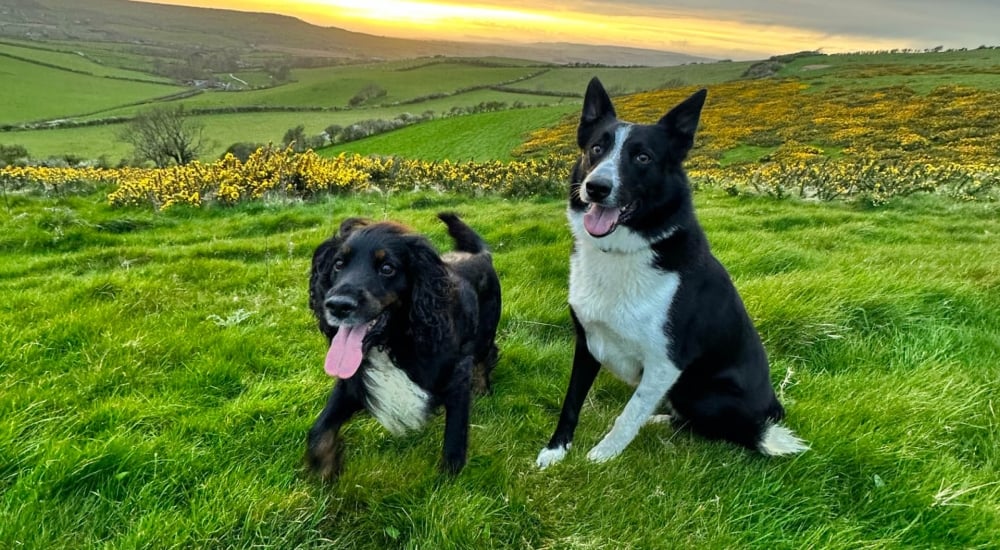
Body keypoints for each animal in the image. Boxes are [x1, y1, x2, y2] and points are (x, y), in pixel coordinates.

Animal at [536, 75, 808, 468]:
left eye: (643, 157)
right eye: (596, 149)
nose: (596, 188)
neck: (623, 252)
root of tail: (772, 409)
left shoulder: (666, 363)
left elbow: (628, 414)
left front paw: (602, 456)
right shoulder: (586, 341)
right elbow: (571, 401)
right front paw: (556, 450)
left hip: (703, 392)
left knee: (717, 428)